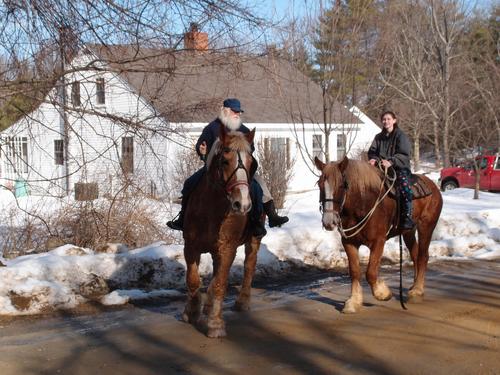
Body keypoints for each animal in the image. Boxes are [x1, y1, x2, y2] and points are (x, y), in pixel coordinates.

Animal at [182, 125, 264, 340]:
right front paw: (191, 311)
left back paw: (242, 301)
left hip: (254, 240)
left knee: (249, 267)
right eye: (225, 161)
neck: (212, 208)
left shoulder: (227, 249)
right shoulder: (190, 246)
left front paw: (215, 324)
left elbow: (220, 284)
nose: (242, 204)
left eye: (252, 163)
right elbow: (193, 279)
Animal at [314, 156, 444, 314]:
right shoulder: (349, 243)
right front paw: (353, 302)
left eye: (341, 185)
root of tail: (433, 186)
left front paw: (383, 293)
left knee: (423, 256)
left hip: (426, 226)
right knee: (415, 254)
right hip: (408, 231)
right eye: (320, 184)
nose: (328, 222)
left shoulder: (378, 241)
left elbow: (370, 272)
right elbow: (355, 271)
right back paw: (414, 287)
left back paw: (417, 291)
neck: (363, 204)